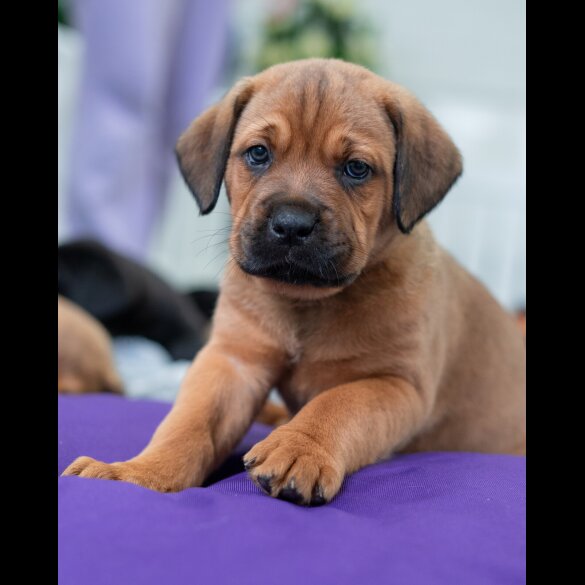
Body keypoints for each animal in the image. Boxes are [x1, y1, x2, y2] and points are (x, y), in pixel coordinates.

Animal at [62, 60, 524, 506]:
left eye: (356, 168)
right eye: (258, 154)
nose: (291, 225)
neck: (308, 304)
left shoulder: (395, 383)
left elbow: (336, 404)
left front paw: (300, 448)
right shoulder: (233, 361)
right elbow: (187, 423)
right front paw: (137, 474)